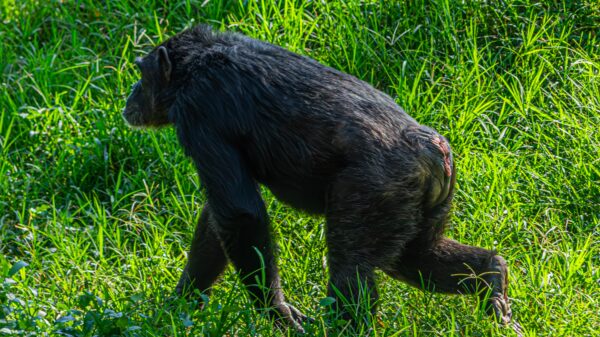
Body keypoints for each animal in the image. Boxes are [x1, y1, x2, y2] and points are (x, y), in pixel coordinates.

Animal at [122, 25, 516, 332]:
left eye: (141, 75)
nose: (130, 94)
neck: (198, 63)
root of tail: (431, 152)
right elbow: (216, 221)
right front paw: (178, 306)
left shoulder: (198, 112)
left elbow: (239, 212)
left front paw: (277, 311)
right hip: (424, 202)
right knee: (415, 257)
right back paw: (491, 278)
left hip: (373, 190)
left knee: (349, 270)